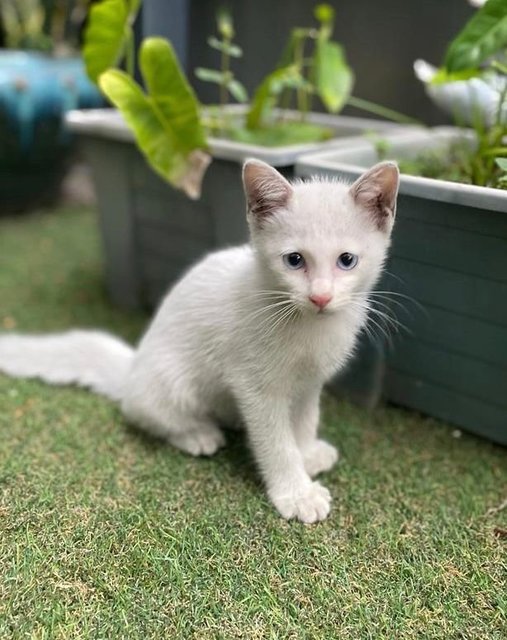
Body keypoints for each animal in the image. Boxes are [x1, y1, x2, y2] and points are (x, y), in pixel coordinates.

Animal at [0, 159, 398, 520]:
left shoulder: (309, 383)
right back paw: (197, 435)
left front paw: (307, 452)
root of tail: (133, 368)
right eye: (294, 260)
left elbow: (304, 419)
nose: (320, 297)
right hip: (170, 383)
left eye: (346, 260)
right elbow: (275, 442)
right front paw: (296, 493)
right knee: (142, 413)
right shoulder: (255, 386)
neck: (307, 326)